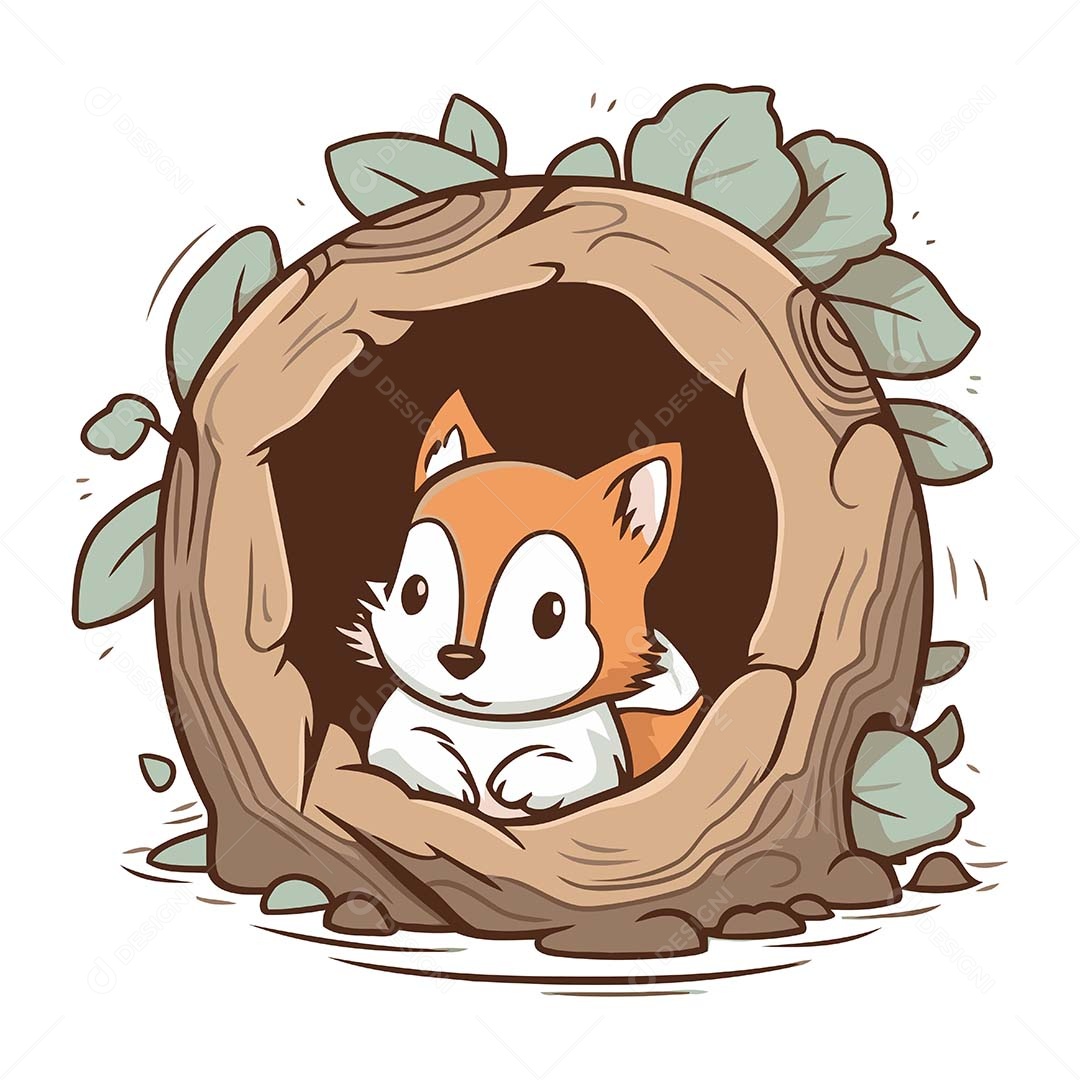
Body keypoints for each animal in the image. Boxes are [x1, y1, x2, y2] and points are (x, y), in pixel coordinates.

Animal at [340, 390, 703, 819]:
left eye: (550, 613)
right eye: (415, 592)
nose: (458, 659)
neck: (490, 725)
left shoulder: (601, 757)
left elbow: (574, 766)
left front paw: (519, 779)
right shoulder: (397, 724)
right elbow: (404, 742)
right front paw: (448, 776)